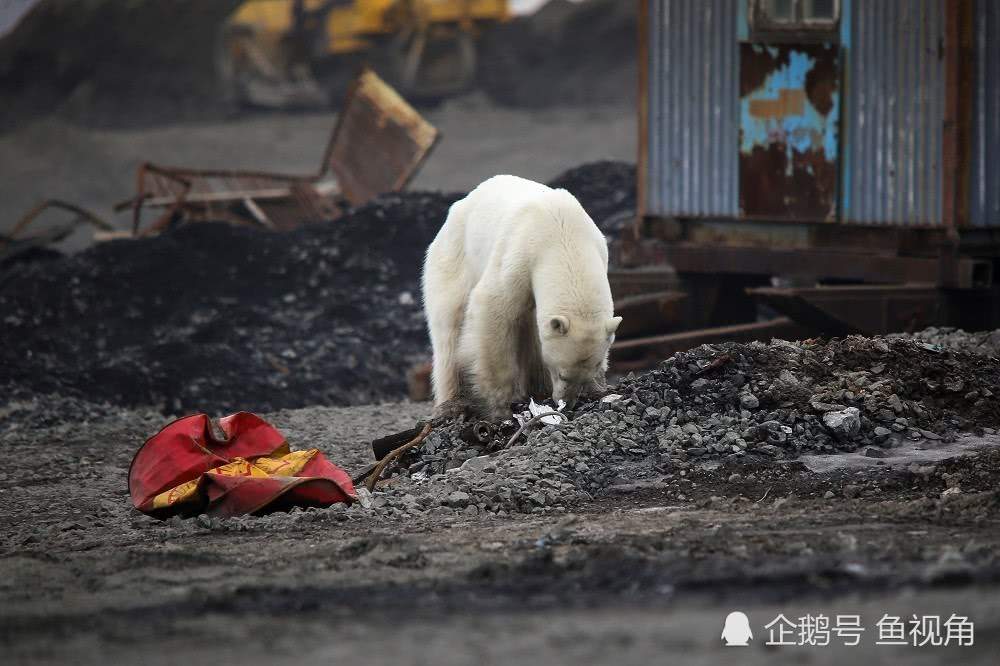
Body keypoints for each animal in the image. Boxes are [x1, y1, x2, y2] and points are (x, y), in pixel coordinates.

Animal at [420, 174, 620, 418]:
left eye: (585, 374)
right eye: (562, 374)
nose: (566, 403)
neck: (563, 234)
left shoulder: (598, 248)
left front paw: (598, 387)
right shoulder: (520, 254)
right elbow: (492, 308)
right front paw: (499, 406)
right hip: (454, 257)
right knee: (449, 327)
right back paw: (451, 402)